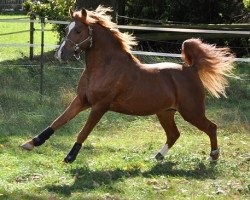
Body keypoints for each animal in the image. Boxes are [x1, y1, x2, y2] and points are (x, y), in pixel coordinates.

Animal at [21, 6, 234, 163]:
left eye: (79, 30)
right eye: (67, 29)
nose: (60, 55)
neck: (104, 68)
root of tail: (191, 69)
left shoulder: (100, 106)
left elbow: (83, 132)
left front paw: (70, 157)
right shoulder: (81, 100)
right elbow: (58, 121)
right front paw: (31, 143)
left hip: (191, 112)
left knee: (211, 127)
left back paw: (214, 157)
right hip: (165, 113)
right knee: (174, 134)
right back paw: (158, 156)